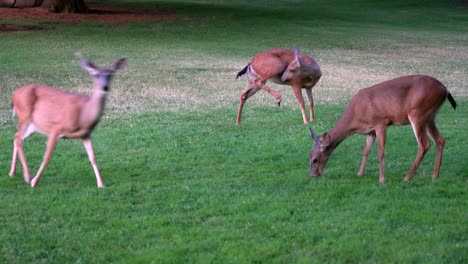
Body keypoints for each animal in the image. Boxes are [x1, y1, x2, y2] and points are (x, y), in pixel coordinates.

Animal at [8, 53, 127, 188]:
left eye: (111, 74)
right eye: (95, 74)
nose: (105, 87)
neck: (84, 115)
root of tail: (14, 95)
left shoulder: (86, 134)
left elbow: (93, 157)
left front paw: (101, 184)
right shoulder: (56, 128)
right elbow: (47, 156)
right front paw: (34, 181)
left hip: (33, 125)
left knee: (16, 136)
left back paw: (12, 172)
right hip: (24, 114)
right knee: (18, 138)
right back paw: (27, 177)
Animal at [308, 74, 456, 183]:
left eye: (315, 159)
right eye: (309, 155)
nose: (313, 175)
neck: (356, 115)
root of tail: (445, 89)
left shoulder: (381, 122)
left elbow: (380, 151)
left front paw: (381, 179)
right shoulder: (370, 131)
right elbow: (366, 151)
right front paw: (360, 173)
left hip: (417, 113)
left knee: (424, 144)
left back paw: (407, 177)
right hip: (430, 117)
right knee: (440, 140)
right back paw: (434, 176)